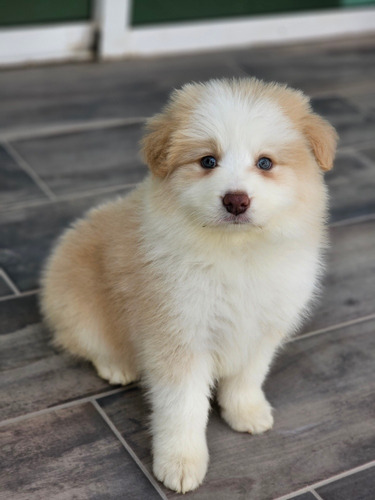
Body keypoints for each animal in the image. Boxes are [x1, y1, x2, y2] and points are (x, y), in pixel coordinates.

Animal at [41, 78, 338, 492]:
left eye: (265, 163)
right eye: (208, 161)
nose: (236, 201)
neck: (236, 254)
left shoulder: (262, 328)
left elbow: (248, 376)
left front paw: (247, 411)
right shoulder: (179, 336)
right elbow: (183, 408)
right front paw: (181, 463)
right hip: (78, 306)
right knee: (86, 341)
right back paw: (117, 365)